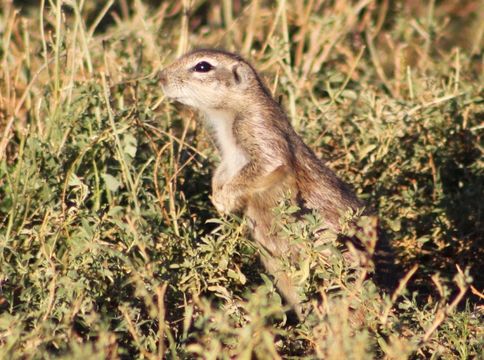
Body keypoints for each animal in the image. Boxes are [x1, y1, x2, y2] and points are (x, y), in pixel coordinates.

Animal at [161, 48, 364, 318]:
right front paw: (216, 196)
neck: (227, 117)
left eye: (202, 66)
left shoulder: (259, 129)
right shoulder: (228, 160)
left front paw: (224, 201)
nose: (161, 78)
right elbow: (221, 173)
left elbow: (265, 166)